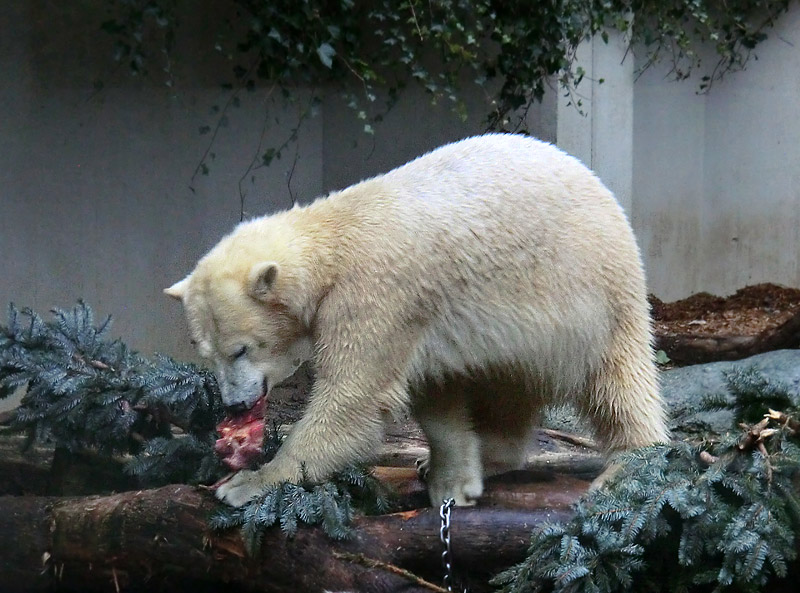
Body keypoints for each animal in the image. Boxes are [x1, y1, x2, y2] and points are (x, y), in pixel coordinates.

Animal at [167, 135, 668, 508]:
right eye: (205, 352)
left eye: (241, 349)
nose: (234, 406)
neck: (332, 240)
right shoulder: (422, 317)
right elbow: (434, 390)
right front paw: (452, 478)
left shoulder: (374, 297)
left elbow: (354, 399)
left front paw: (249, 482)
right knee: (507, 383)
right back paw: (493, 453)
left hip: (591, 290)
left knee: (617, 382)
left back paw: (630, 464)